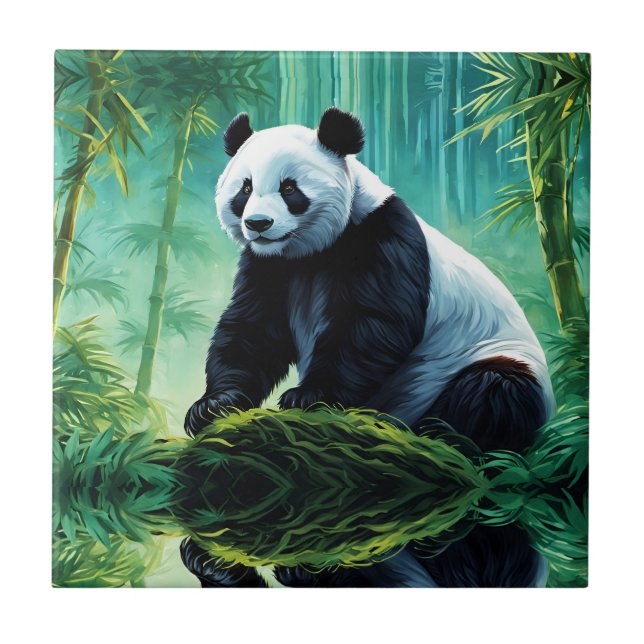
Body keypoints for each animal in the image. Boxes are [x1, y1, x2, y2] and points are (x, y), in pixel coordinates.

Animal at [180, 107, 555, 588]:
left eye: (290, 189)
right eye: (244, 189)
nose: (258, 224)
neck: (310, 250)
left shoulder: (382, 239)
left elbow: (372, 325)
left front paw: (307, 398)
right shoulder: (269, 266)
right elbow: (253, 330)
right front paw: (214, 406)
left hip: (489, 361)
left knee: (493, 393)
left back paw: (437, 436)